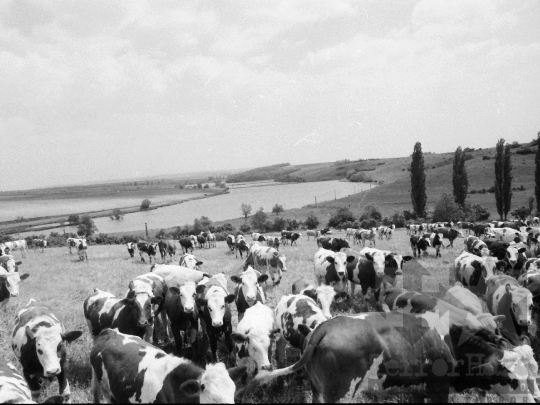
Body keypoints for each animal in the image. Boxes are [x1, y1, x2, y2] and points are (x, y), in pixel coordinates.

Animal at [255, 312, 536, 400]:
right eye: (512, 379)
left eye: (533, 375)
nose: (533, 400)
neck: (451, 341)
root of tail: (326, 326)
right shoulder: (438, 387)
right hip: (340, 393)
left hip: (319, 392)